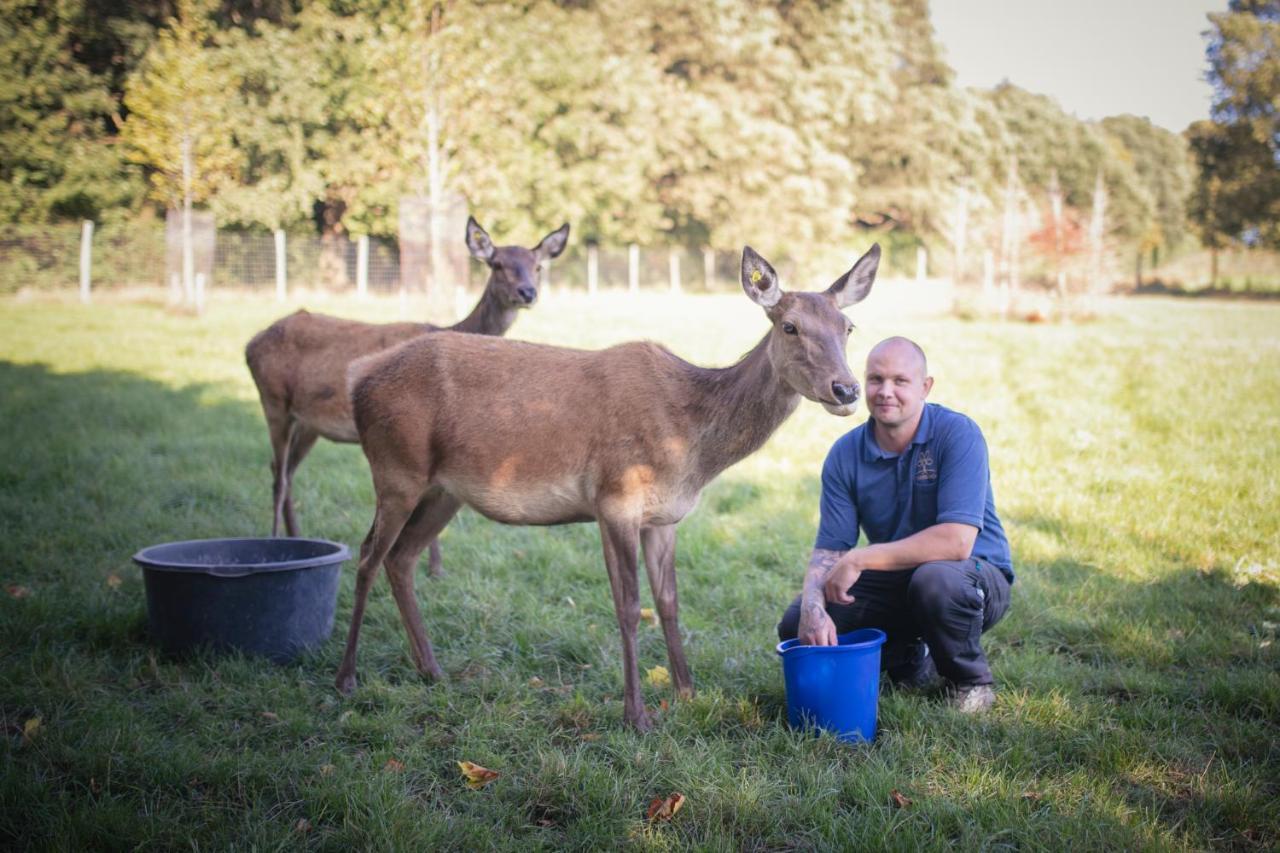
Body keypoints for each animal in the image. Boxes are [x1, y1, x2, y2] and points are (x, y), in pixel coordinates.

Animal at [244, 216, 570, 571]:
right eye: (497, 264)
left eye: (537, 266)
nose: (527, 292)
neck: (454, 328)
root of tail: (250, 343)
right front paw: (435, 567)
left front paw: (435, 567)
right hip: (273, 400)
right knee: (278, 474)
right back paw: (274, 542)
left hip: (307, 422)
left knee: (286, 470)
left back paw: (297, 537)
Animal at [337, 242, 880, 727]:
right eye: (790, 326)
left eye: (848, 327)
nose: (846, 389)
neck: (691, 448)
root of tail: (358, 379)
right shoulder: (615, 498)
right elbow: (629, 606)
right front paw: (636, 715)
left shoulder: (665, 516)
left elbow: (670, 603)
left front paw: (687, 693)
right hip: (395, 469)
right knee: (366, 557)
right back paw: (347, 678)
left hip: (444, 491)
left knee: (401, 558)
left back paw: (431, 669)